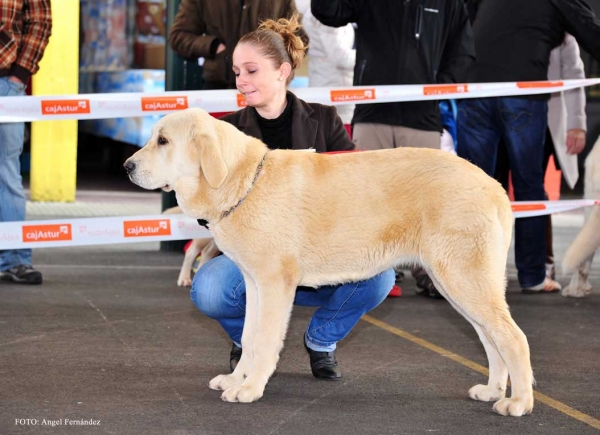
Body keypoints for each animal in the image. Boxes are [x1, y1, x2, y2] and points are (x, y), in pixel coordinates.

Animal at [123, 107, 536, 418]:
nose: (127, 166)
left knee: (514, 338)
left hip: (464, 280)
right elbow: (248, 337)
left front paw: (250, 388)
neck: (242, 183)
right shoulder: (255, 284)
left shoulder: (274, 285)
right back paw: (492, 390)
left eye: (162, 141)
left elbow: (264, 341)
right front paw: (237, 379)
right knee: (491, 339)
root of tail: (494, 186)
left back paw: (518, 402)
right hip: (459, 283)